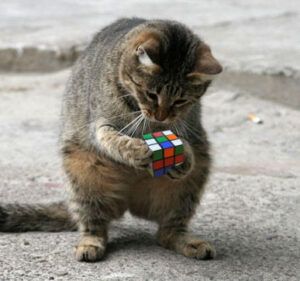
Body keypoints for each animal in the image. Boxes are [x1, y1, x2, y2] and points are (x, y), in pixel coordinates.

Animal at [0, 18, 221, 262]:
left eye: (180, 101)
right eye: (151, 94)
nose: (161, 116)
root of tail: (129, 202)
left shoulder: (187, 127)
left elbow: (185, 141)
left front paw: (184, 159)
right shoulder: (99, 124)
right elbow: (113, 139)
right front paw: (137, 150)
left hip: (190, 183)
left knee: (168, 231)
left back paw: (187, 242)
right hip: (83, 175)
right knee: (94, 224)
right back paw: (90, 244)